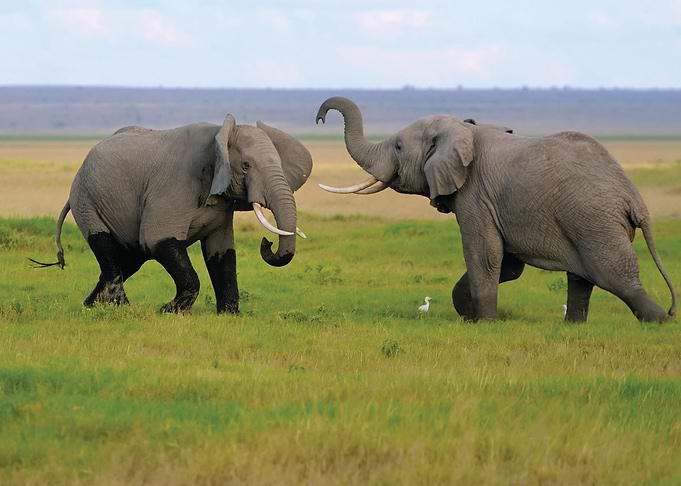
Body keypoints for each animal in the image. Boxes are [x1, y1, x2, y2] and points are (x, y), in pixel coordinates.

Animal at [31, 115, 312, 314]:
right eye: (245, 166)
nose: (267, 243)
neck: (219, 136)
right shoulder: (173, 186)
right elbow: (158, 240)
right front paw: (168, 310)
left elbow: (221, 252)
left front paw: (229, 314)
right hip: (86, 199)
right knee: (107, 249)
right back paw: (120, 308)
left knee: (129, 259)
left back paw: (91, 306)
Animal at [315, 97, 677, 323]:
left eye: (399, 147)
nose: (320, 118)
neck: (463, 129)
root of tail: (634, 198)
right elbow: (508, 264)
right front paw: (470, 315)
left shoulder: (476, 195)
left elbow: (483, 252)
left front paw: (484, 322)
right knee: (581, 279)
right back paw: (573, 326)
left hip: (594, 220)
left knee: (615, 276)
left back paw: (660, 322)